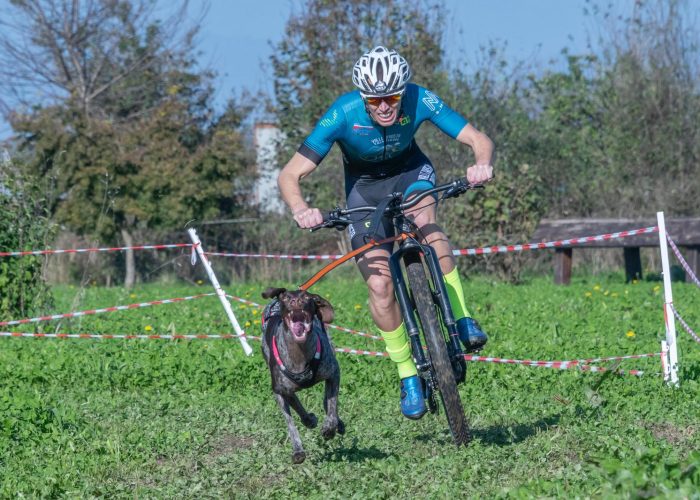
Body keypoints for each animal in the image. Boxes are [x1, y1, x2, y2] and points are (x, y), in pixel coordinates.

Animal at [260, 288, 344, 466]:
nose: (295, 301)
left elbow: (332, 405)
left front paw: (329, 428)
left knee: (328, 402)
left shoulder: (333, 373)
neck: (299, 353)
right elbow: (294, 418)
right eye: (286, 298)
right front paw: (300, 446)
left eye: (306, 297)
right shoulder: (282, 391)